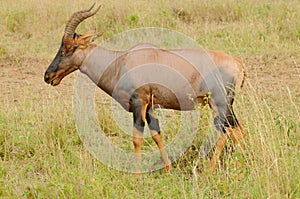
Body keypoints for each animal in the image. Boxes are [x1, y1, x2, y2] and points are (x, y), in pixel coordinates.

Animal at [44, 3, 246, 177]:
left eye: (69, 47)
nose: (48, 76)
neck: (121, 62)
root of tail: (238, 63)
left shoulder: (138, 102)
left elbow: (137, 138)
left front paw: (136, 176)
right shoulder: (150, 106)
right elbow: (157, 135)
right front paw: (166, 170)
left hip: (219, 104)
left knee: (226, 132)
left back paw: (211, 170)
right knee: (237, 130)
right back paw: (239, 165)